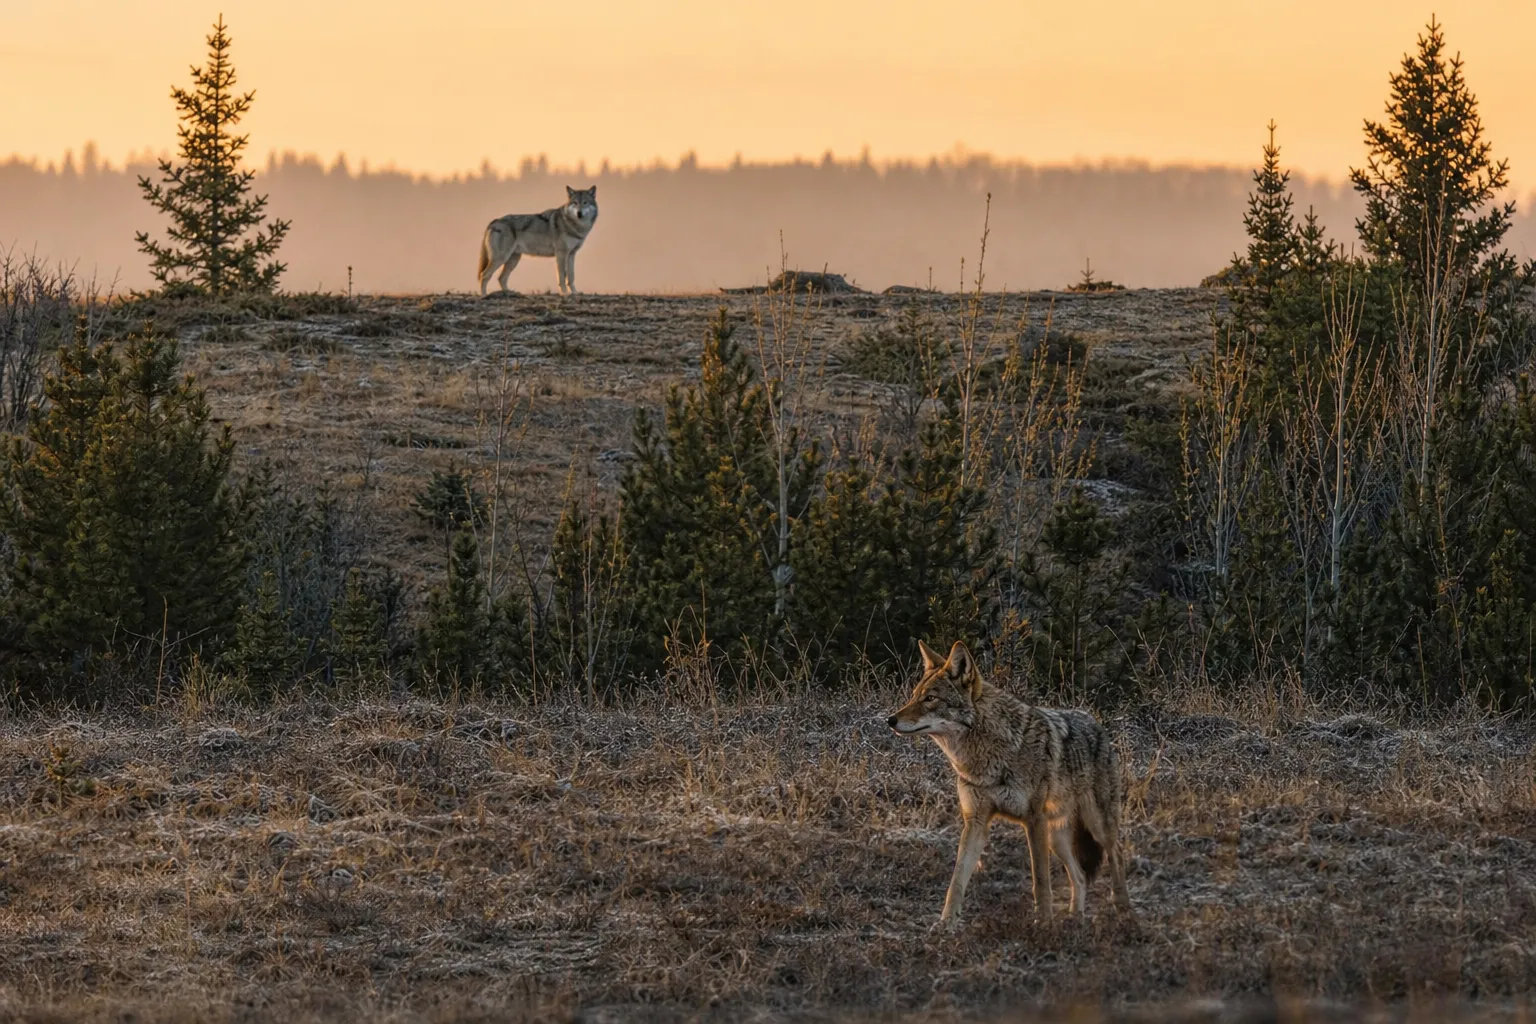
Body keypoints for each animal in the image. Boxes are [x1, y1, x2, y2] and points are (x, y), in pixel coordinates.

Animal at [887, 640, 1132, 927]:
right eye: (914, 695)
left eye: (930, 699)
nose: (890, 720)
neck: (987, 756)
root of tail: (1097, 724)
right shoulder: (976, 822)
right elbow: (957, 880)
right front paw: (946, 923)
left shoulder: (1034, 821)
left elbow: (1041, 880)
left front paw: (1044, 924)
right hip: (1056, 837)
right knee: (1080, 876)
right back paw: (1075, 919)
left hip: (1096, 825)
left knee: (1117, 854)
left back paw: (1124, 910)